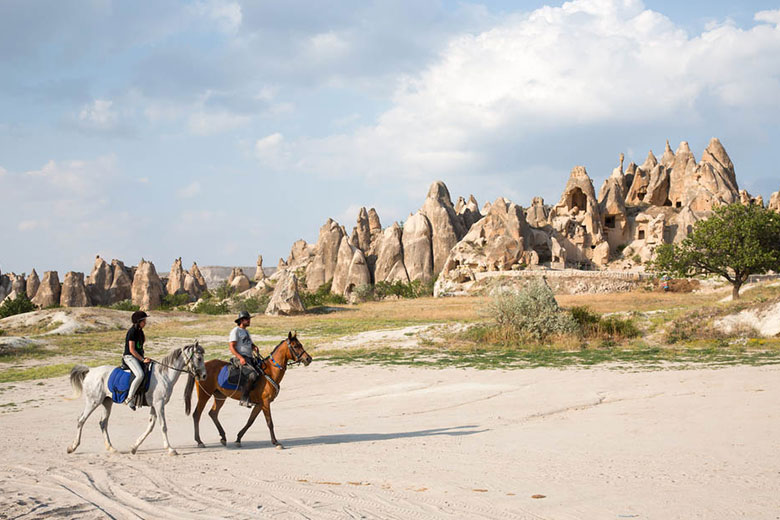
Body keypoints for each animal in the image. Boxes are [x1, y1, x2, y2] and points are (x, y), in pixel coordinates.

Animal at [68, 344, 207, 458]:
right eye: (199, 358)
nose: (204, 375)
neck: (164, 375)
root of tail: (90, 371)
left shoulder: (154, 406)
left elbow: (150, 427)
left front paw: (134, 448)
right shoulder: (159, 404)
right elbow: (163, 426)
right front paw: (170, 449)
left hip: (107, 402)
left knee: (103, 423)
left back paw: (111, 448)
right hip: (93, 402)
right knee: (81, 420)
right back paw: (72, 447)